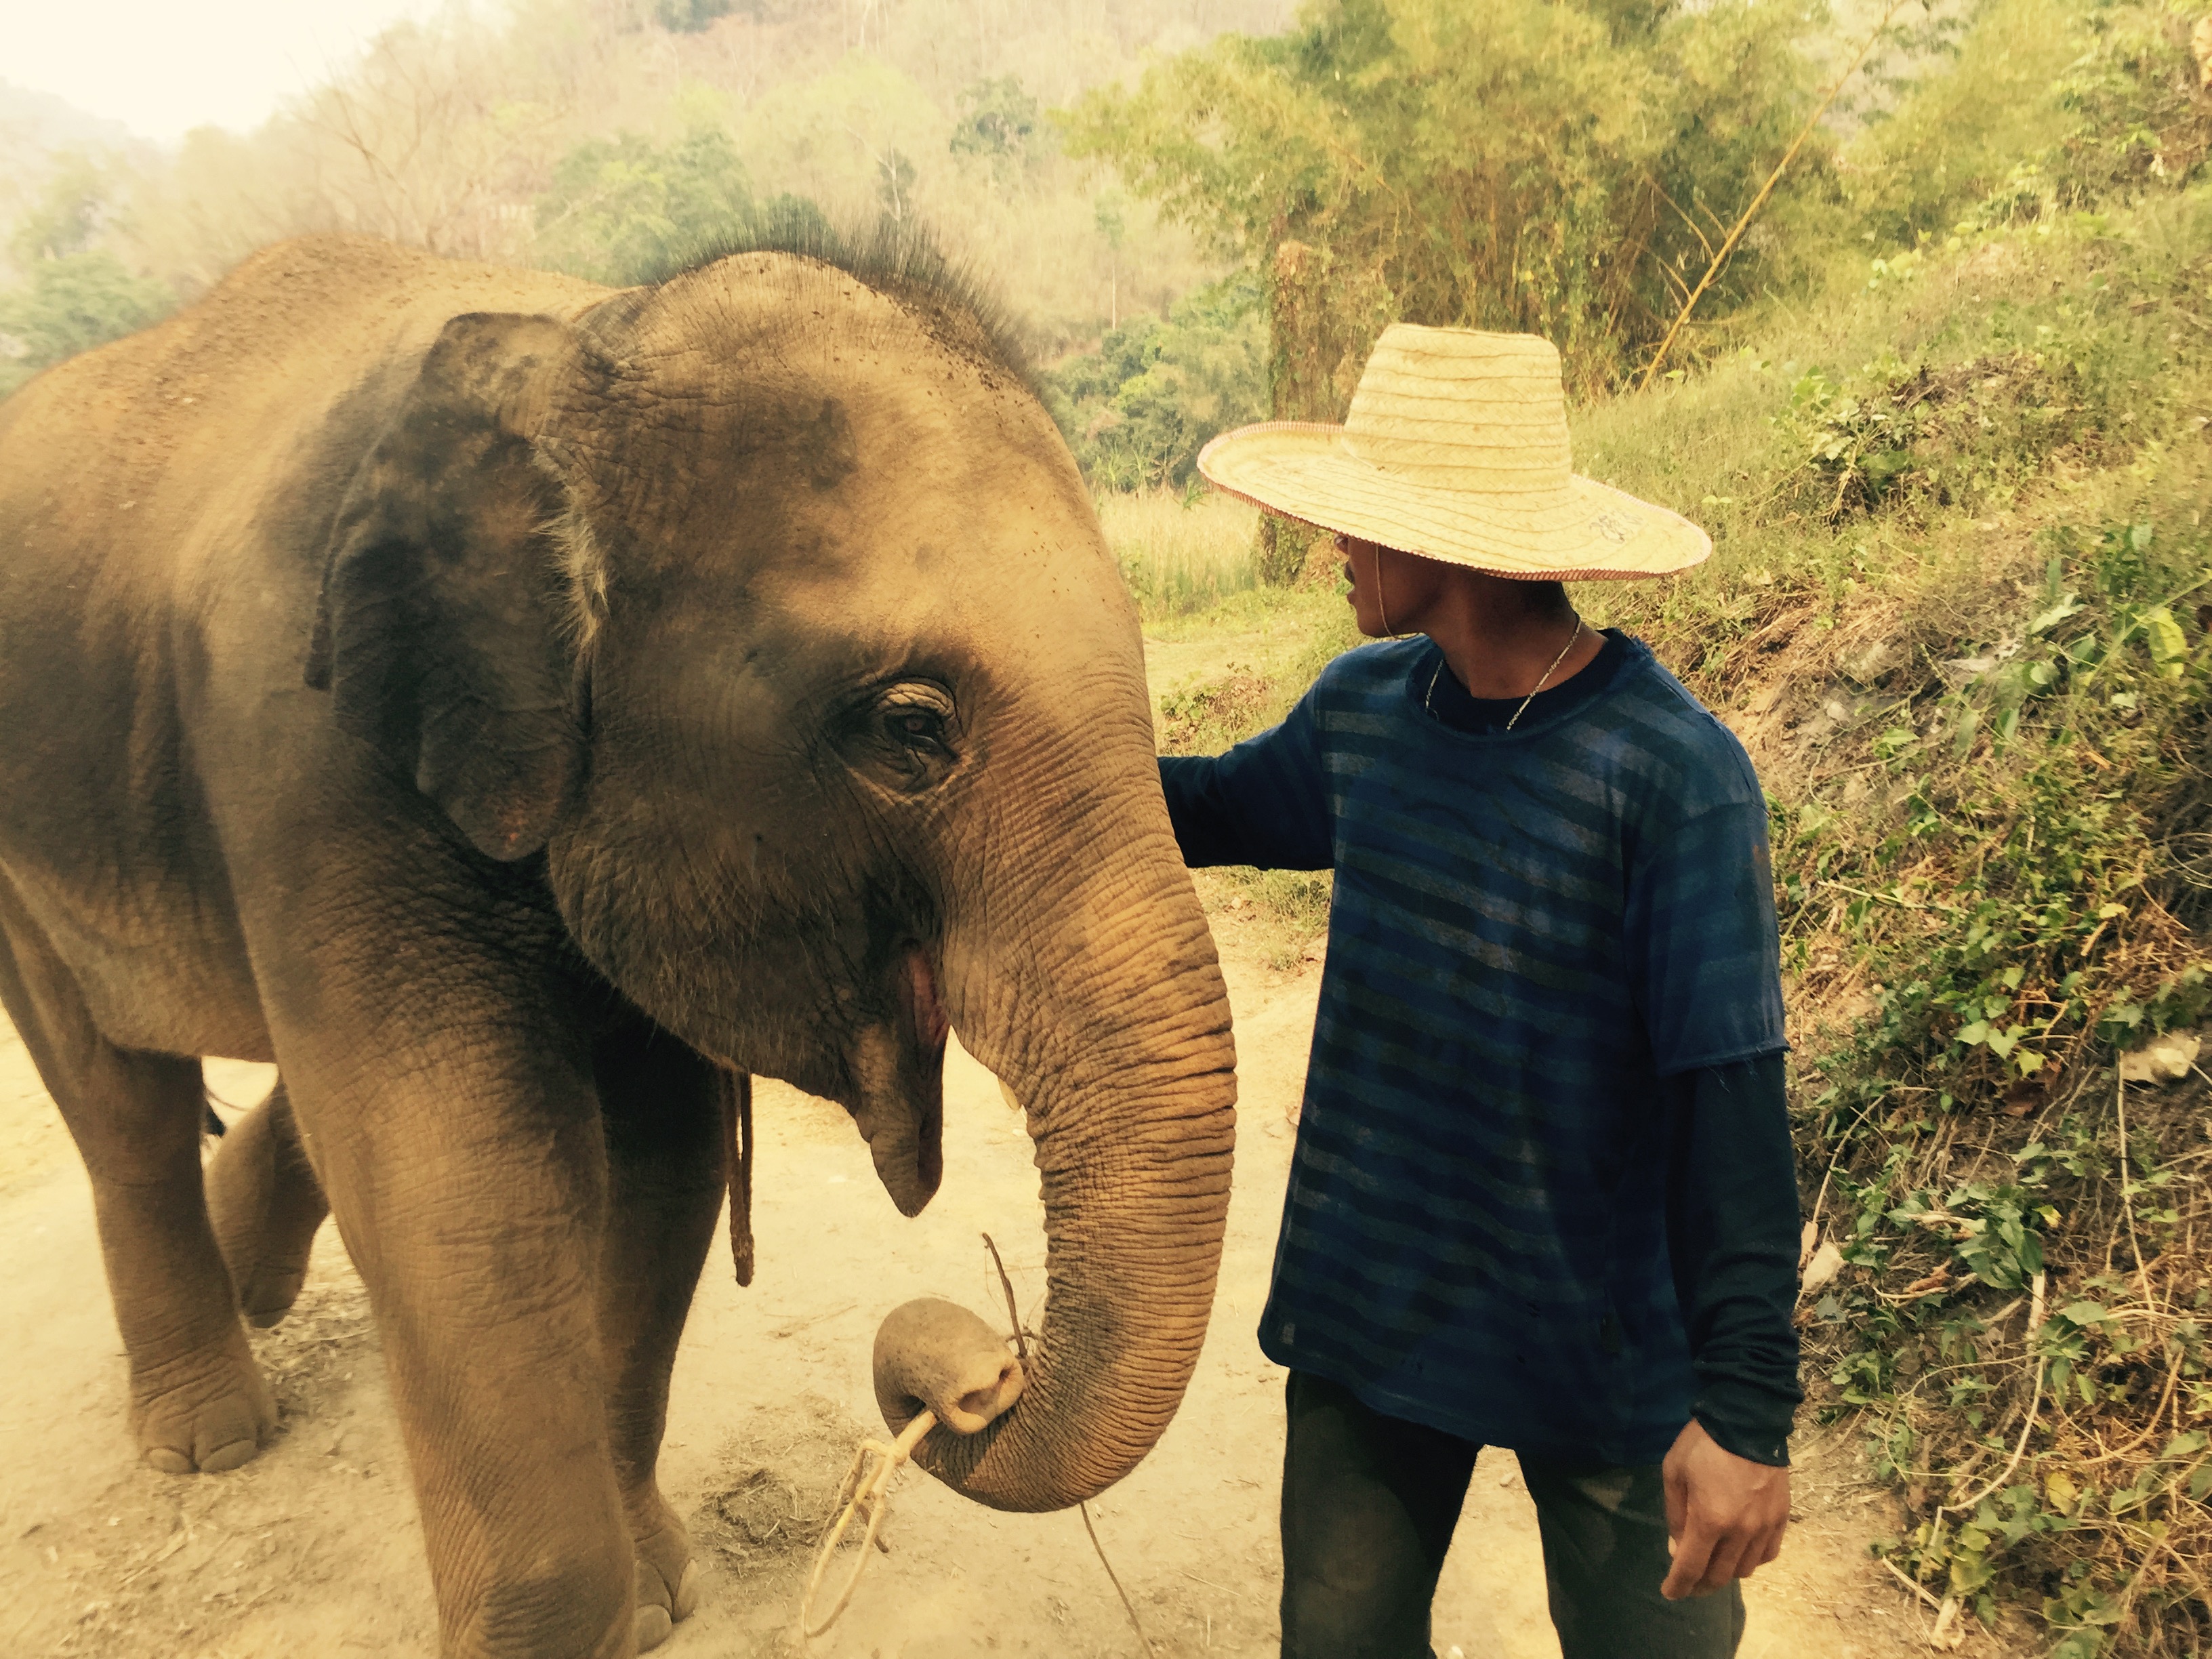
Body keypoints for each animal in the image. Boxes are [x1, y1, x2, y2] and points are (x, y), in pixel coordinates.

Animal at [0, 231, 1247, 1659]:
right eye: (910, 726)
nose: (973, 1377)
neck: (579, 339)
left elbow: (663, 1168)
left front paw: (656, 1598)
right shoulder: (304, 755)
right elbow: (467, 1186)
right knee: (120, 1104)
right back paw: (206, 1441)